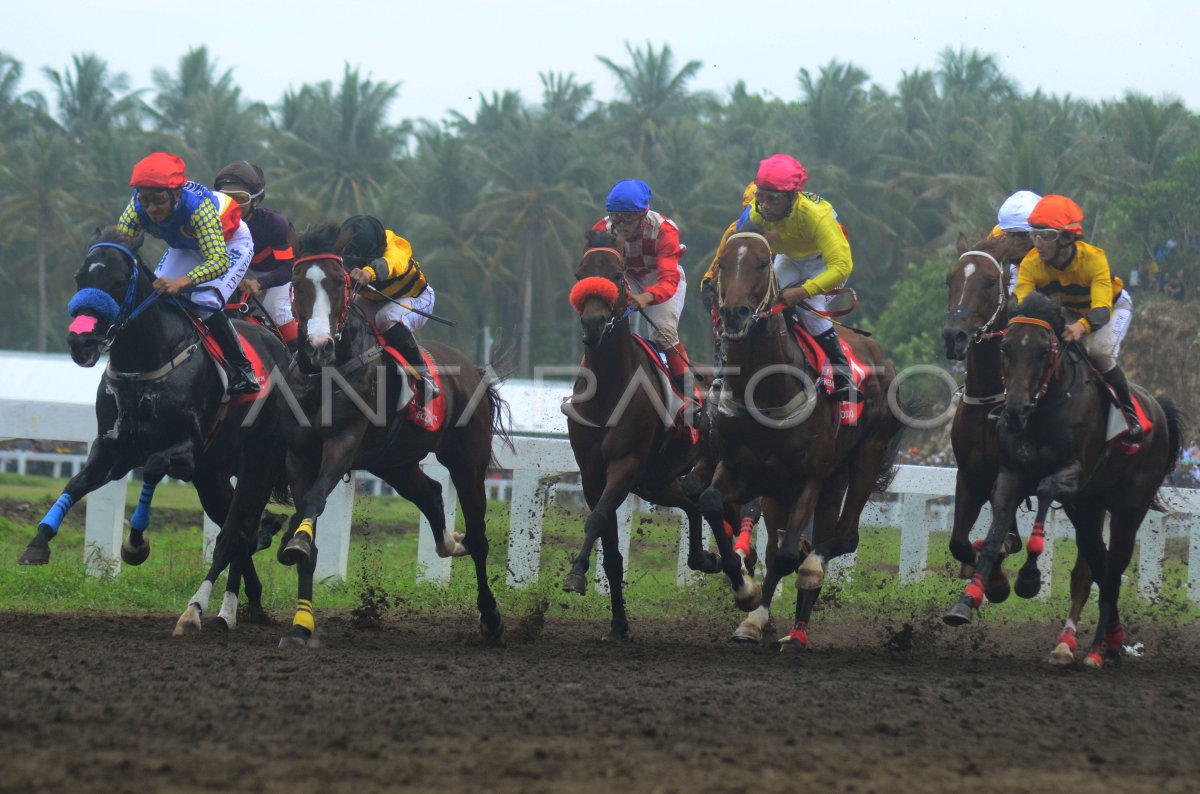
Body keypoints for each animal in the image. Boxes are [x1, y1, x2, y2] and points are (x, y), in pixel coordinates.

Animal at [24, 226, 291, 633]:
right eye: (80, 277)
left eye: (119, 281)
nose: (80, 342)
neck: (143, 365)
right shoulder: (113, 450)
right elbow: (76, 483)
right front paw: (38, 542)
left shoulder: (184, 451)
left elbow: (151, 467)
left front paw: (135, 545)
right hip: (212, 476)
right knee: (238, 530)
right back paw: (243, 606)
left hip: (259, 462)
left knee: (239, 527)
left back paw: (214, 610)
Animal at [274, 220, 513, 652]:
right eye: (297, 284)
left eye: (339, 281)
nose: (318, 347)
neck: (325, 376)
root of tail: (474, 371)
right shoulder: (298, 456)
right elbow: (307, 527)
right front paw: (300, 625)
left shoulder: (343, 443)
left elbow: (315, 503)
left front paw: (294, 543)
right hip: (394, 463)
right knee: (431, 494)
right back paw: (449, 542)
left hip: (467, 462)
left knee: (480, 535)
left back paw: (490, 617)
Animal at [561, 229, 720, 642]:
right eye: (580, 274)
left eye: (618, 276)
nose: (593, 324)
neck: (609, 389)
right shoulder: (592, 473)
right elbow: (611, 549)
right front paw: (618, 624)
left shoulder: (626, 464)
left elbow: (597, 519)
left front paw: (575, 574)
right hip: (658, 481)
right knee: (694, 504)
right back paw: (707, 559)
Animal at [700, 229, 902, 647]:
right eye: (722, 263)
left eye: (762, 263)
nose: (734, 314)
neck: (766, 390)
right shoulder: (742, 472)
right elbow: (712, 504)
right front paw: (745, 593)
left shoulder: (809, 478)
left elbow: (789, 555)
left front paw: (773, 591)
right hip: (808, 485)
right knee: (794, 542)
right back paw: (783, 626)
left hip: (864, 457)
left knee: (844, 537)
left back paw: (803, 609)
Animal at [940, 291, 1185, 666]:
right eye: (1006, 348)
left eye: (1044, 351)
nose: (1014, 411)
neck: (1043, 408)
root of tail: (1157, 408)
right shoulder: (1006, 475)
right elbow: (993, 535)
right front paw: (969, 598)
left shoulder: (1071, 474)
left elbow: (1044, 494)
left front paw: (1028, 577)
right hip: (1088, 507)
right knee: (1097, 564)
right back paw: (1106, 642)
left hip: (1129, 508)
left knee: (1112, 570)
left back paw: (1094, 650)